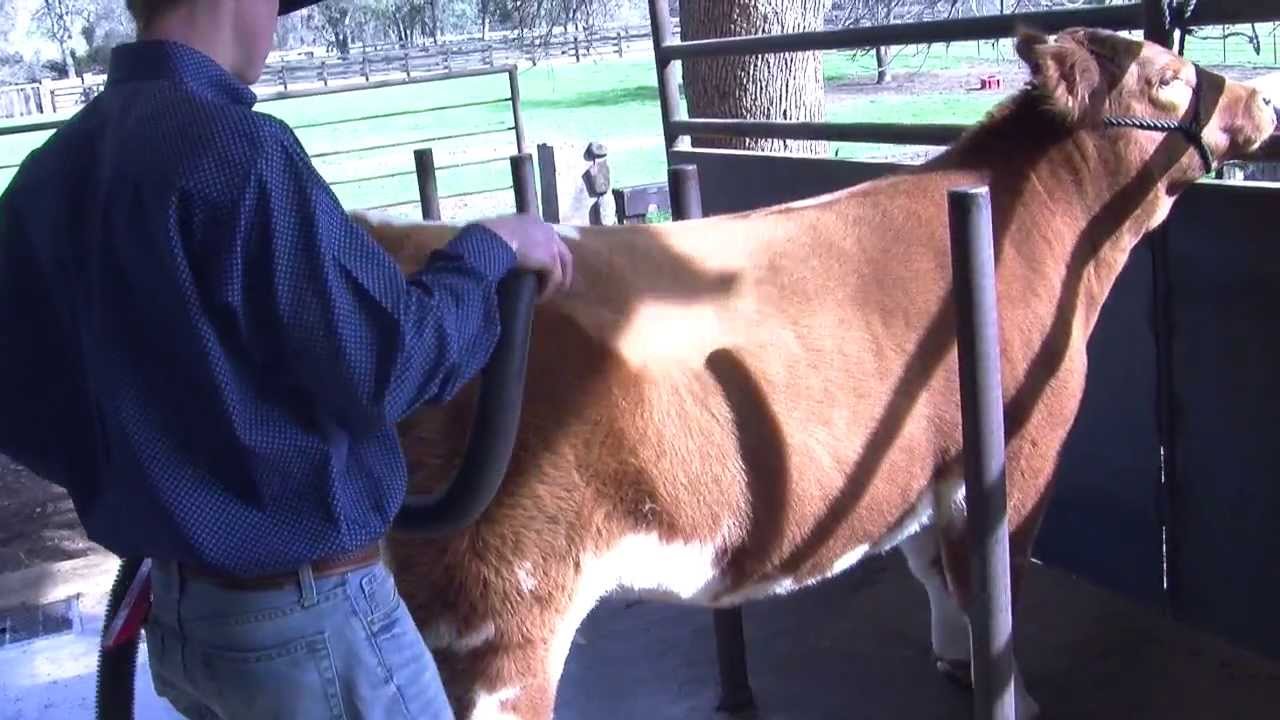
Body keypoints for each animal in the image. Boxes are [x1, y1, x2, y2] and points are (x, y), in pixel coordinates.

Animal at [351, 27, 1278, 720]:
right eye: (1167, 78)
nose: (1263, 98)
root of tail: (398, 239)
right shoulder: (1021, 457)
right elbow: (994, 590)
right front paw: (1009, 691)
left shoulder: (922, 466)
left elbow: (934, 569)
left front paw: (953, 660)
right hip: (499, 620)